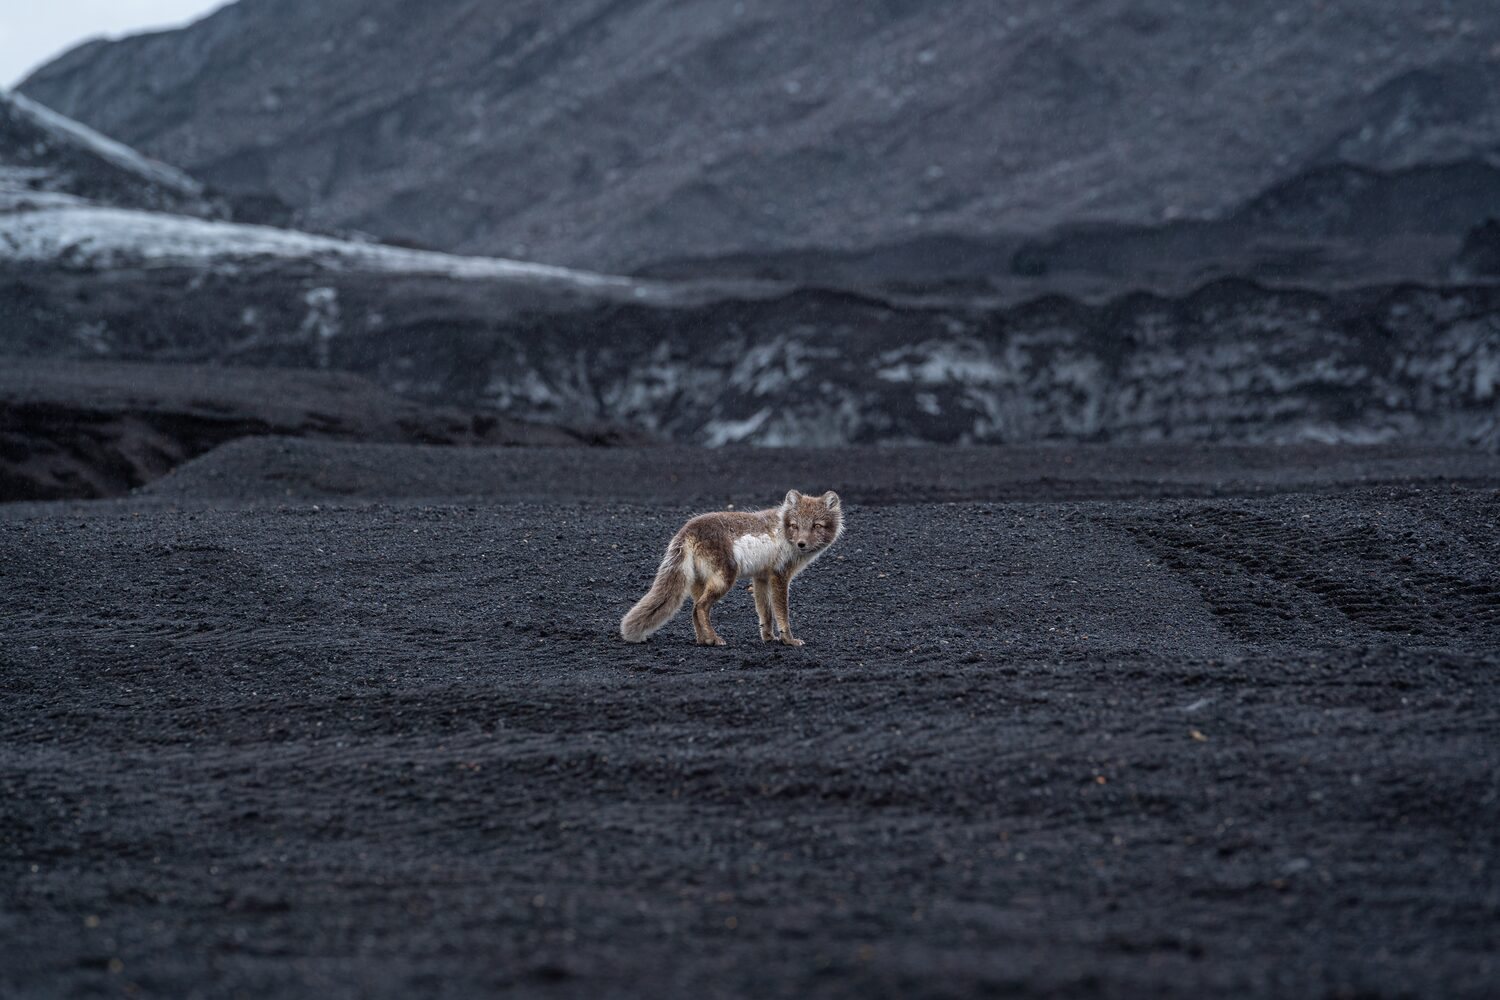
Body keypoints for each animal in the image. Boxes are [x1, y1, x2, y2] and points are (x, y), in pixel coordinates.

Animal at [618, 491, 846, 650]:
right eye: (795, 525)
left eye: (816, 526)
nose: (801, 544)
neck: (782, 531)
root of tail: (686, 530)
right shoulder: (780, 576)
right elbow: (782, 614)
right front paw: (788, 640)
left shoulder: (761, 577)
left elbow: (765, 613)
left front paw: (768, 638)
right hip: (724, 579)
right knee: (701, 607)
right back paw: (714, 639)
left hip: (700, 582)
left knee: (694, 610)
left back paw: (703, 640)